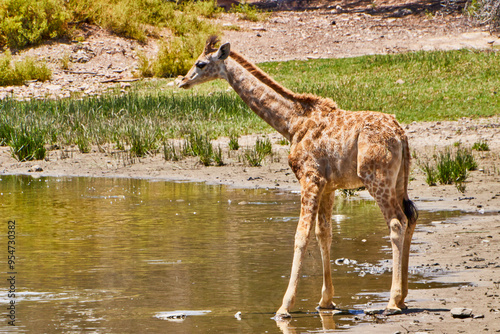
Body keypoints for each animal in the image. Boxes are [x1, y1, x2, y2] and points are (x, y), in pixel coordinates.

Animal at [179, 36, 418, 318]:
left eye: (201, 63)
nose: (182, 81)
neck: (291, 124)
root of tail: (401, 136)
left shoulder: (310, 178)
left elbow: (301, 236)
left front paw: (284, 306)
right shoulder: (328, 186)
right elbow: (324, 233)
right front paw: (326, 301)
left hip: (376, 178)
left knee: (396, 222)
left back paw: (392, 302)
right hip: (400, 180)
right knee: (411, 216)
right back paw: (403, 298)